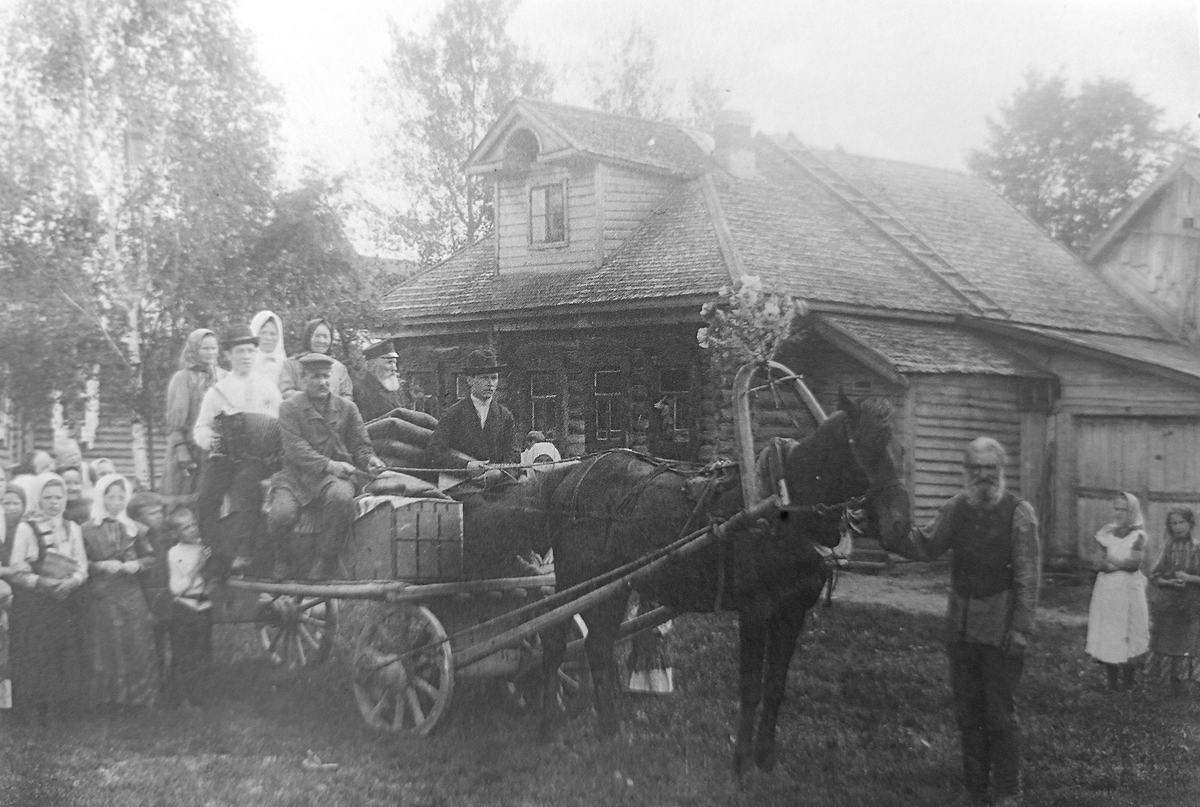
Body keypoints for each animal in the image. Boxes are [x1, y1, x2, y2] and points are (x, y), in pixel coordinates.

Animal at [535, 393, 907, 778]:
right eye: (865, 446)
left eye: (901, 449)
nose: (900, 524)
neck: (781, 506)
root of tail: (570, 475)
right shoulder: (755, 609)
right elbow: (751, 687)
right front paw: (742, 762)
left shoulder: (793, 610)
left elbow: (775, 686)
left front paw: (765, 758)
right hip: (576, 578)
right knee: (554, 639)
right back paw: (548, 726)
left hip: (614, 584)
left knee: (598, 644)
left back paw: (611, 731)